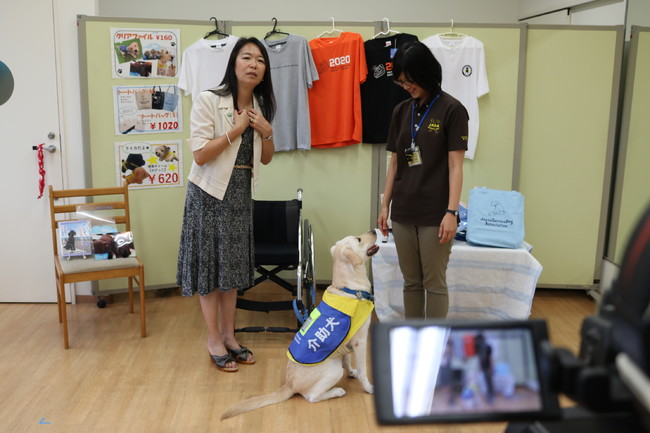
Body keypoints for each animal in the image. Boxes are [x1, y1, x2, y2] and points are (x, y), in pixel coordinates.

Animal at [220, 230, 378, 418]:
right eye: (359, 239)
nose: (374, 230)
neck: (350, 289)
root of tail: (289, 385)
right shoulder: (360, 341)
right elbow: (363, 371)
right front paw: (369, 387)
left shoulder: (347, 340)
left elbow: (347, 360)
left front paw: (352, 372)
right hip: (334, 370)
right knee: (311, 397)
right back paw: (336, 391)